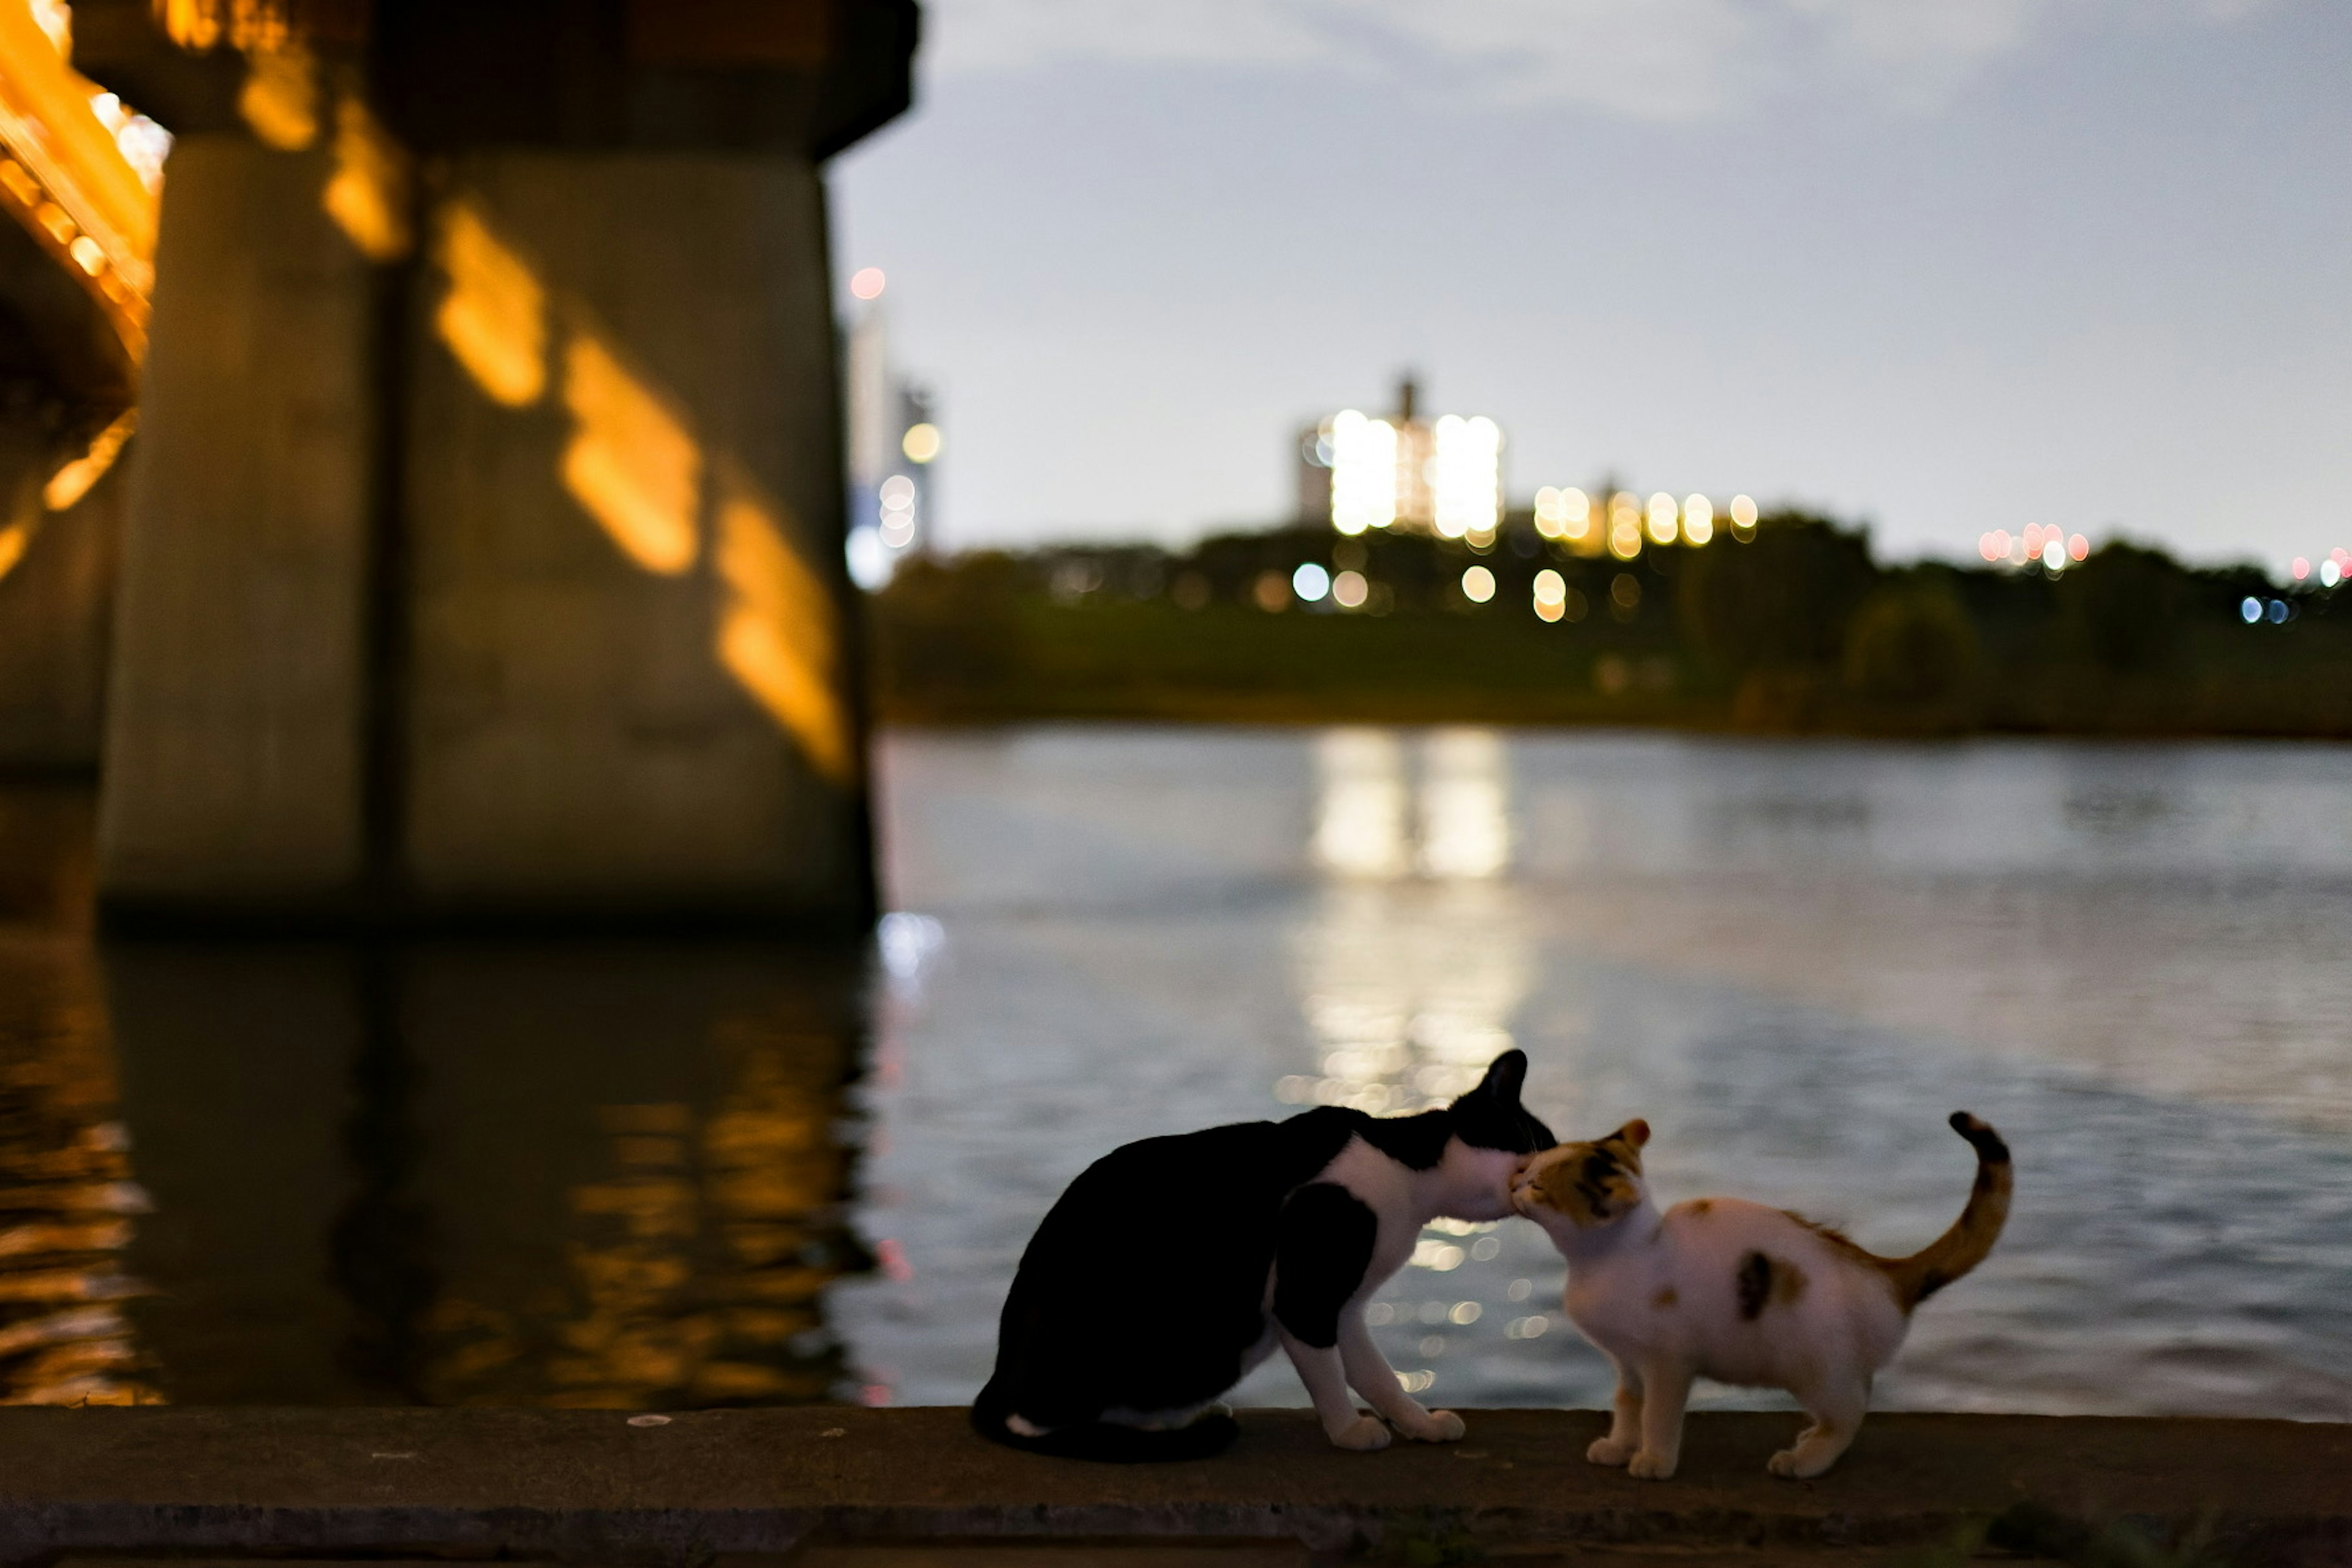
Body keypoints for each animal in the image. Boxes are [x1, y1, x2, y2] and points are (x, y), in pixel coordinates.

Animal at [964, 1048, 1552, 1466]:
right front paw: (1348, 1431)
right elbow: (1329, 1375)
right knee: (1038, 1422)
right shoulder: (1306, 1296)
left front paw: (1419, 1423)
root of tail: (999, 1375)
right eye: (1538, 1144)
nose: (1557, 1176)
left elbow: (1376, 1373)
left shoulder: (1346, 1306)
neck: (1408, 1178)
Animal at [1514, 1109, 2013, 1476]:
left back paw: (1807, 1460)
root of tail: (1884, 1271)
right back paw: (1810, 1440)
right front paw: (1619, 1448)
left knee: (1851, 1412)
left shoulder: (1668, 1364)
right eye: (1527, 1171)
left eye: (1538, 1186)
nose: (1514, 1184)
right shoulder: (1629, 1363)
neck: (1609, 1260)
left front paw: (1653, 1461)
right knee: (1862, 1392)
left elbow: (1657, 1415)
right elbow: (1627, 1408)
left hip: (1815, 1371)